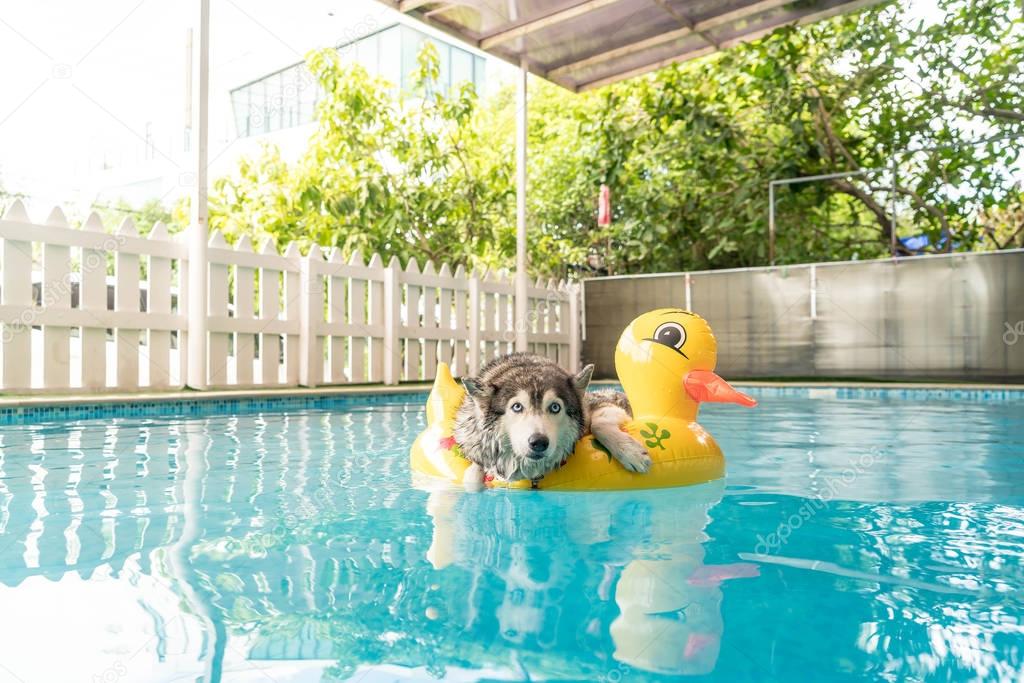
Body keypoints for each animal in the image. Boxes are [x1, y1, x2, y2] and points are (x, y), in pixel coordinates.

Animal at [454, 352, 647, 491]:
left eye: (555, 407)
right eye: (517, 407)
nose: (538, 442)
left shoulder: (603, 404)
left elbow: (599, 423)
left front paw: (631, 453)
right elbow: (472, 475)